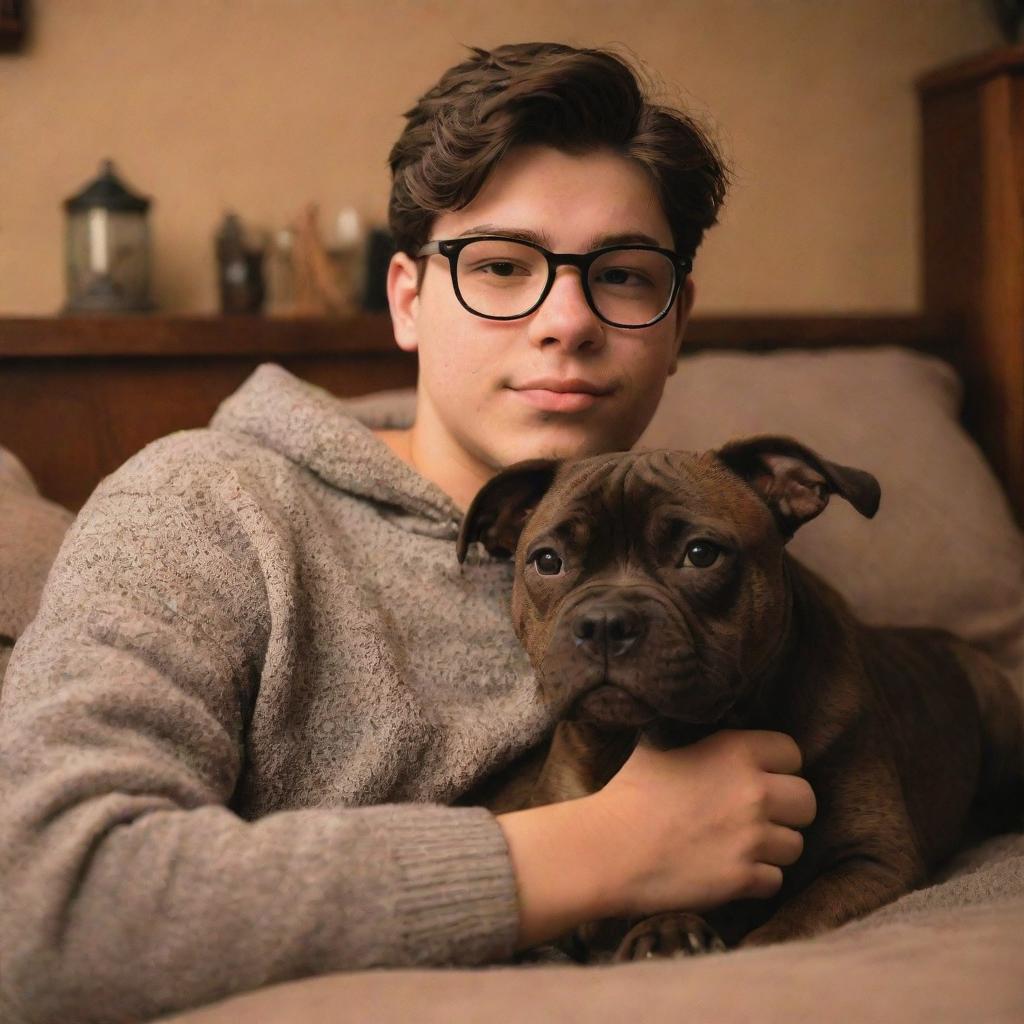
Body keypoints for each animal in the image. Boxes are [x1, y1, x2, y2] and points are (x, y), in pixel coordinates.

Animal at [458, 438, 1024, 958]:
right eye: (547, 561)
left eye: (700, 554)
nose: (604, 622)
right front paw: (665, 931)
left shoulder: (874, 859)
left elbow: (790, 924)